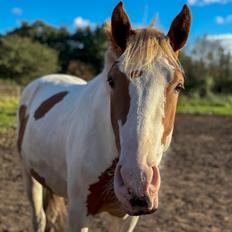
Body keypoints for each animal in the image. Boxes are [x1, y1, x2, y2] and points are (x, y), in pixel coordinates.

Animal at [16, 2, 191, 232]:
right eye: (111, 81)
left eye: (179, 86)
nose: (137, 182)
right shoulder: (78, 213)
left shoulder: (127, 218)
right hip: (29, 176)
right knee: (39, 218)